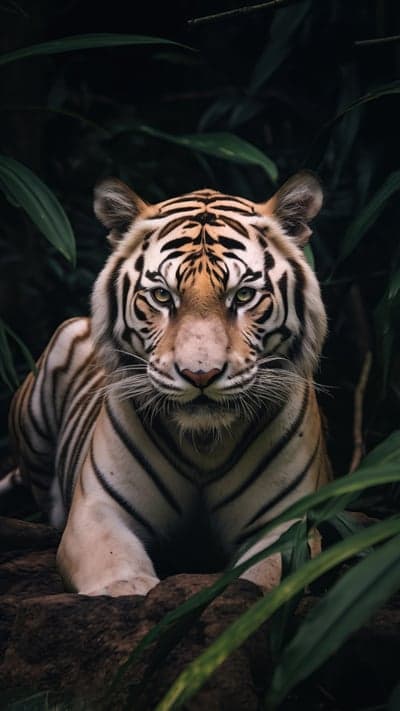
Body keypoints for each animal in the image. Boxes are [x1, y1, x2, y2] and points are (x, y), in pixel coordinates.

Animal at [6, 171, 331, 596]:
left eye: (244, 295)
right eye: (162, 295)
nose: (200, 375)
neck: (204, 446)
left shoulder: (288, 524)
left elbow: (262, 580)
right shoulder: (98, 509)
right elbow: (117, 573)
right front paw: (130, 590)